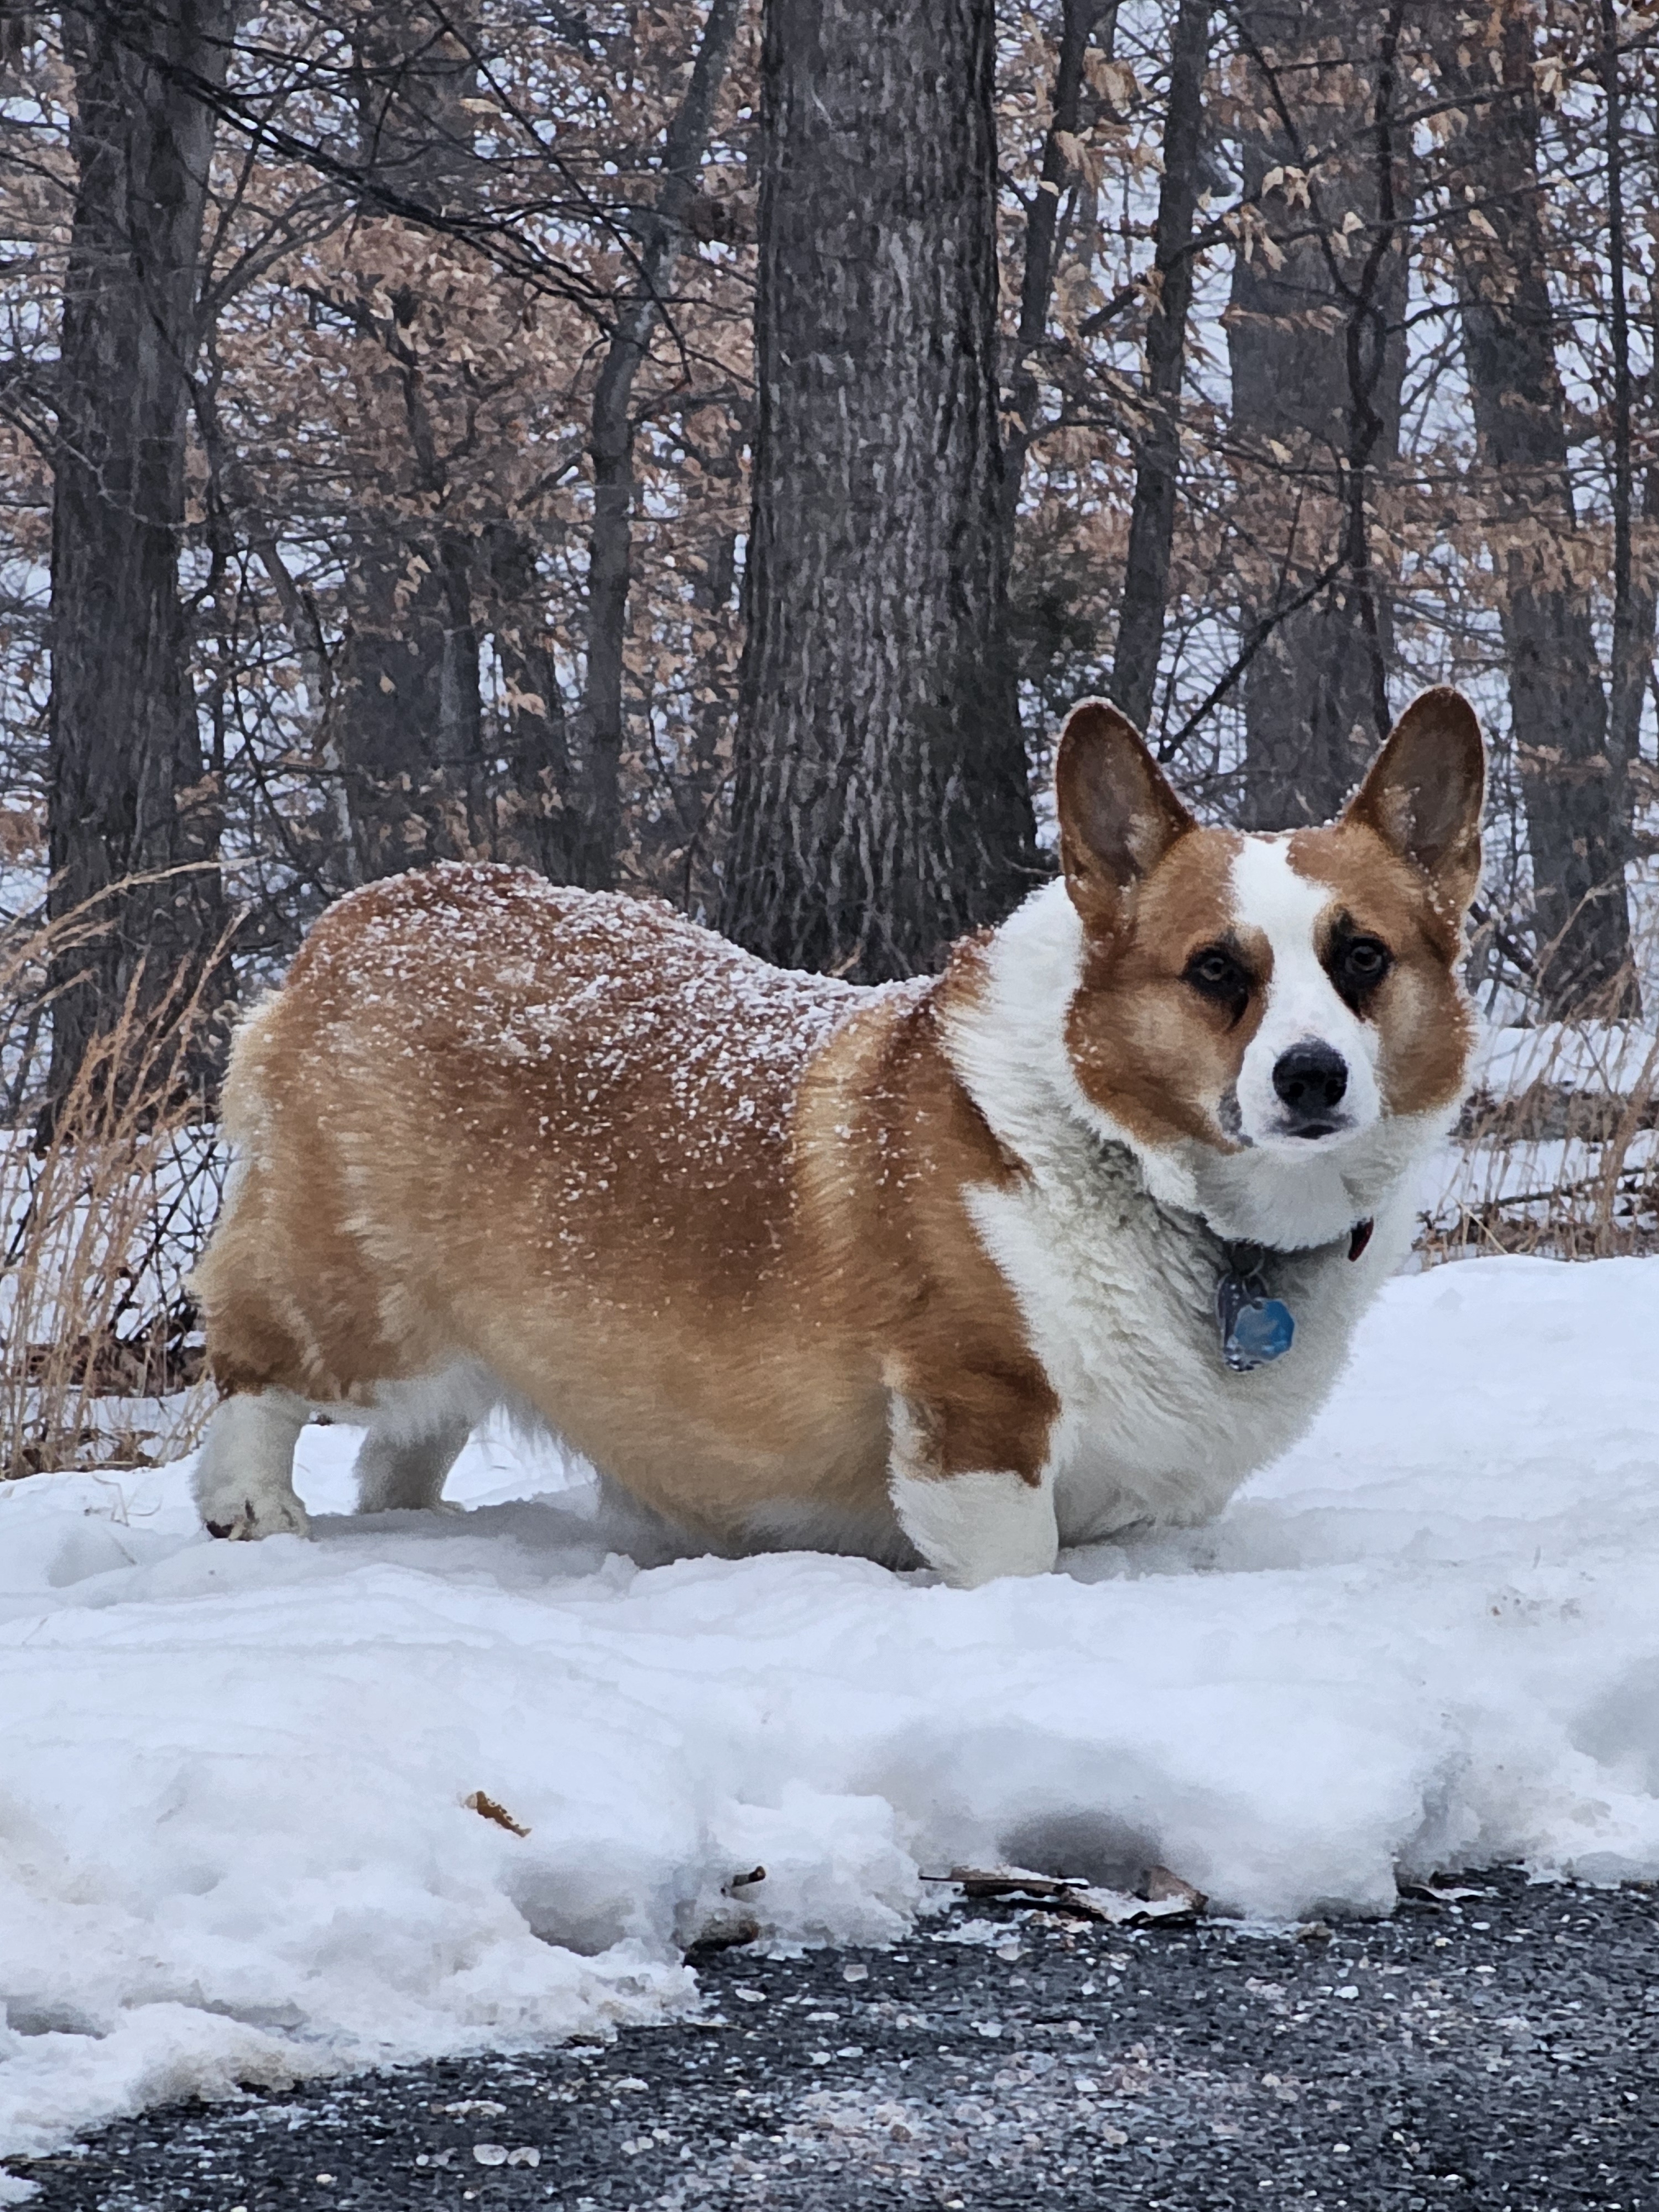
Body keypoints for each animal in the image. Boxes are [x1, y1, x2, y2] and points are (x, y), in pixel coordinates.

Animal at [188, 695, 1486, 1593]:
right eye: (1217, 969)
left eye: (1362, 956)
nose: (1312, 1077)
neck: (1144, 1174)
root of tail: (361, 917)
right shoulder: (978, 1415)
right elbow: (1012, 1559)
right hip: (363, 1309)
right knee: (258, 1365)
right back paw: (254, 1510)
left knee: (406, 1448)